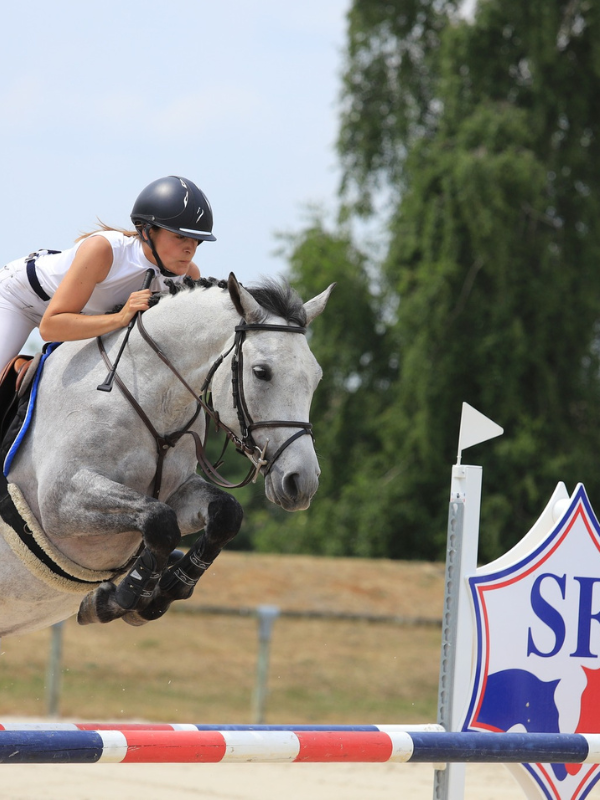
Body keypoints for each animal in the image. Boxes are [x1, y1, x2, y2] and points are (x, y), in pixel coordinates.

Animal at [0, 276, 332, 636]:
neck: (149, 396)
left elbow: (224, 514)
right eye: (261, 372)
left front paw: (162, 591)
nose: (302, 482)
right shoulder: (58, 503)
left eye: (316, 377)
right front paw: (120, 599)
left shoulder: (178, 490)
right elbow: (159, 522)